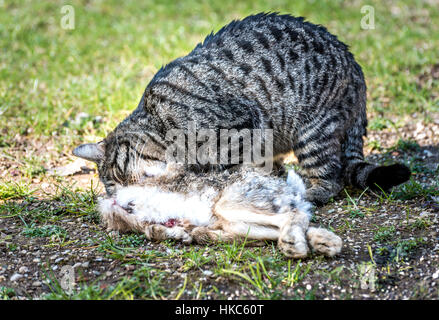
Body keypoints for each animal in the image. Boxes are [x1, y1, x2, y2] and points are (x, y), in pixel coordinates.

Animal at [73, 12, 412, 204]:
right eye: (113, 189)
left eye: (120, 174)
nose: (125, 201)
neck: (159, 120)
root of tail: (355, 66)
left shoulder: (242, 126)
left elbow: (232, 165)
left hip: (312, 131)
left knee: (332, 176)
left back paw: (312, 191)